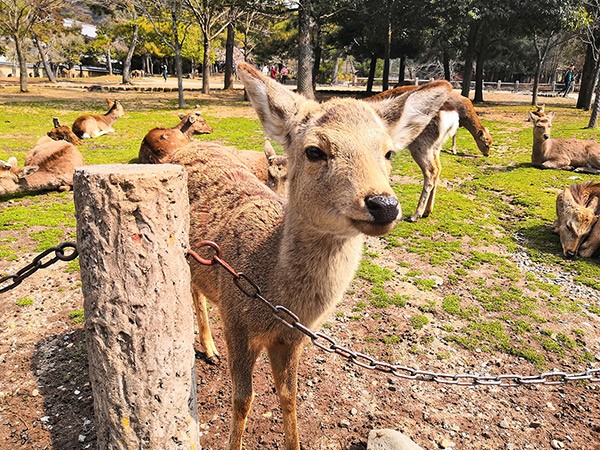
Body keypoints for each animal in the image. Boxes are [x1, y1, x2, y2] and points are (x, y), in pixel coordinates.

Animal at [173, 61, 454, 448]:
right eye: (314, 151)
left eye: (388, 153)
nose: (384, 204)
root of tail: (182, 151)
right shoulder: (236, 321)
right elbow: (243, 399)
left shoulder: (293, 338)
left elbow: (289, 397)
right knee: (193, 293)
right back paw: (209, 349)